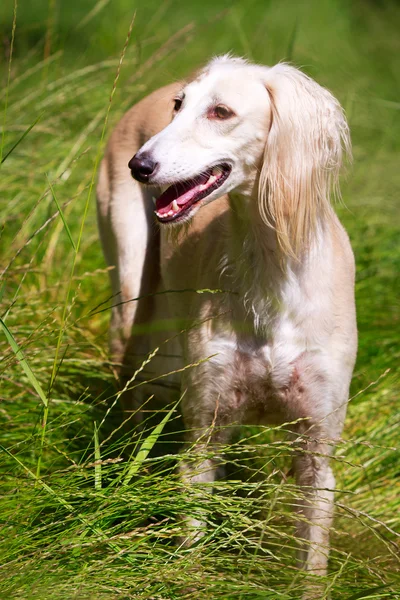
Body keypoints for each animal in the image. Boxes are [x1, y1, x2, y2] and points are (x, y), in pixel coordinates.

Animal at [96, 55, 356, 576]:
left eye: (221, 111)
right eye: (179, 105)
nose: (140, 165)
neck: (271, 272)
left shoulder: (317, 454)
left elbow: (311, 568)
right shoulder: (205, 434)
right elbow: (191, 547)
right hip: (133, 297)